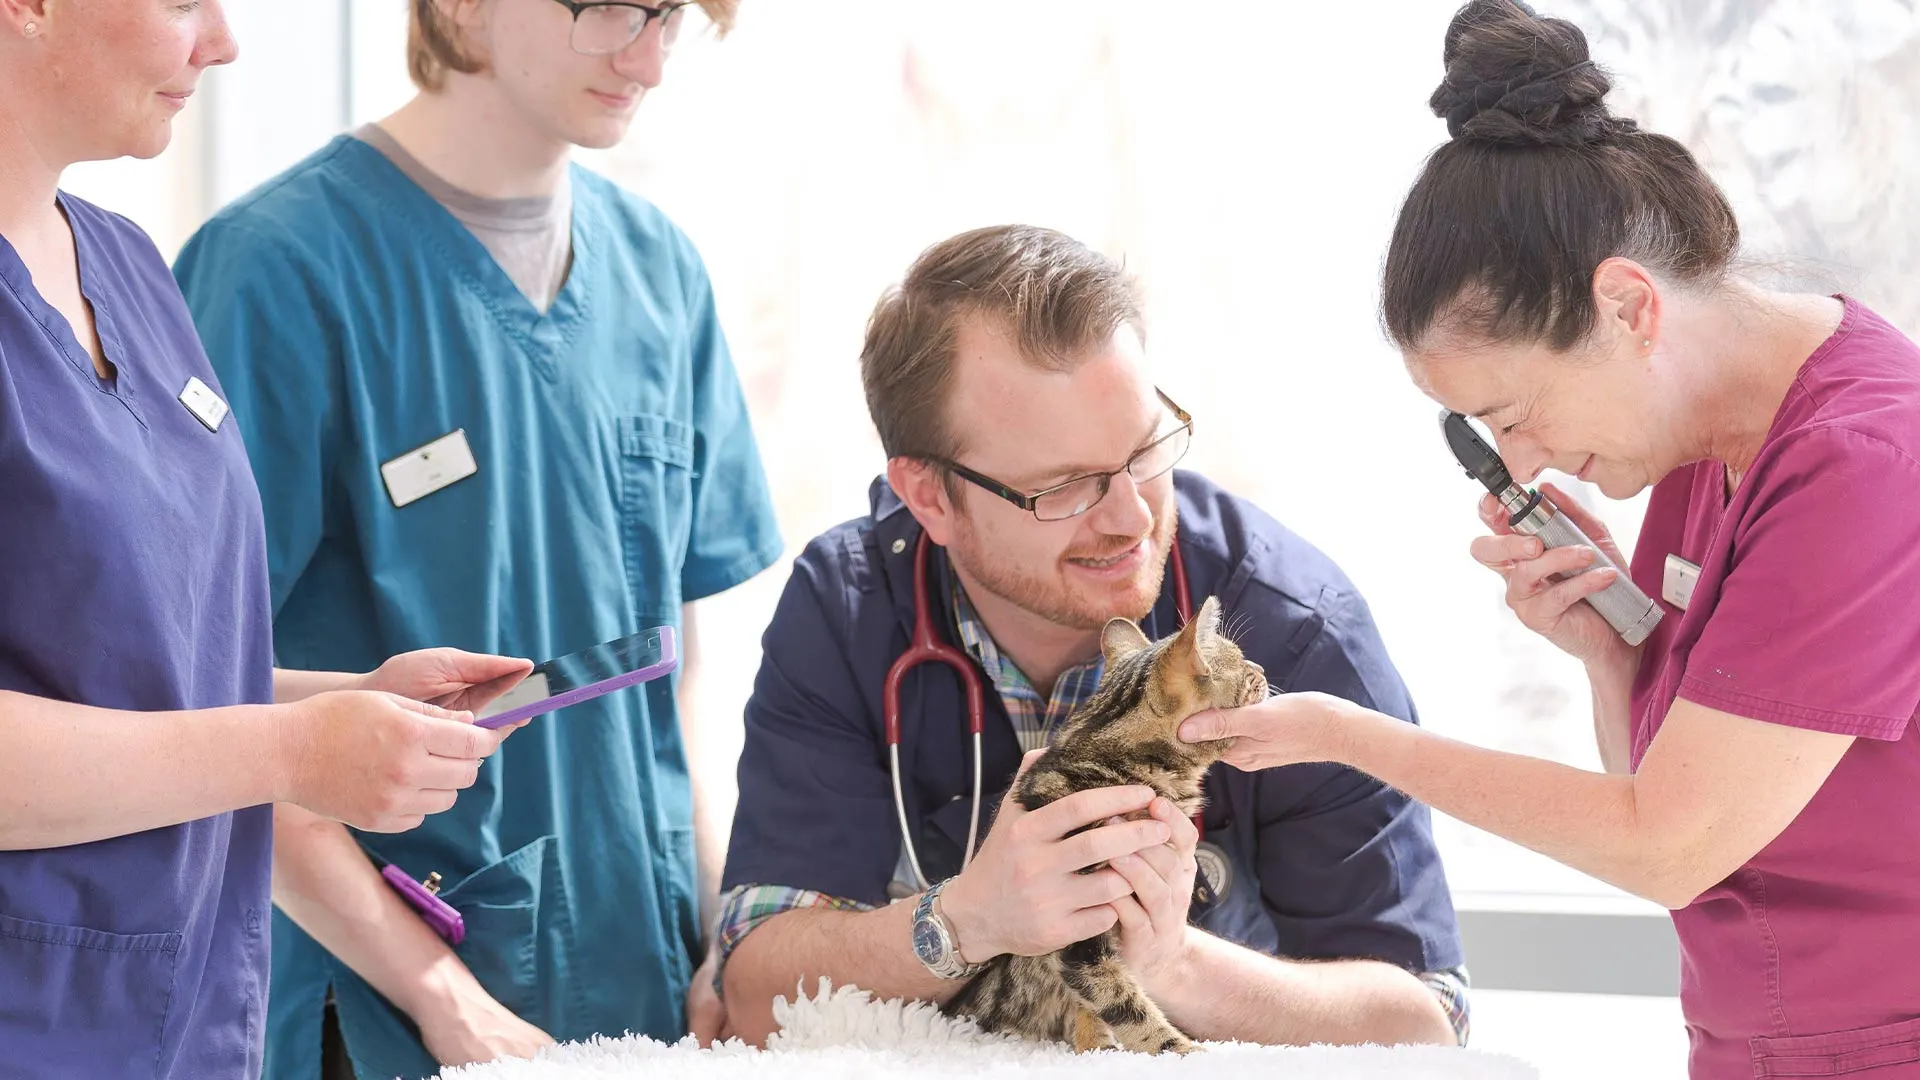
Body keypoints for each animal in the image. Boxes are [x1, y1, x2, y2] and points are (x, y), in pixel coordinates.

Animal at [940, 591, 1267, 1045]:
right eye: (1243, 666)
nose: (1264, 671)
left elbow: (1091, 1005)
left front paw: (1095, 1043)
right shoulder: (1076, 929)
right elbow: (1122, 1001)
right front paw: (1178, 1049)